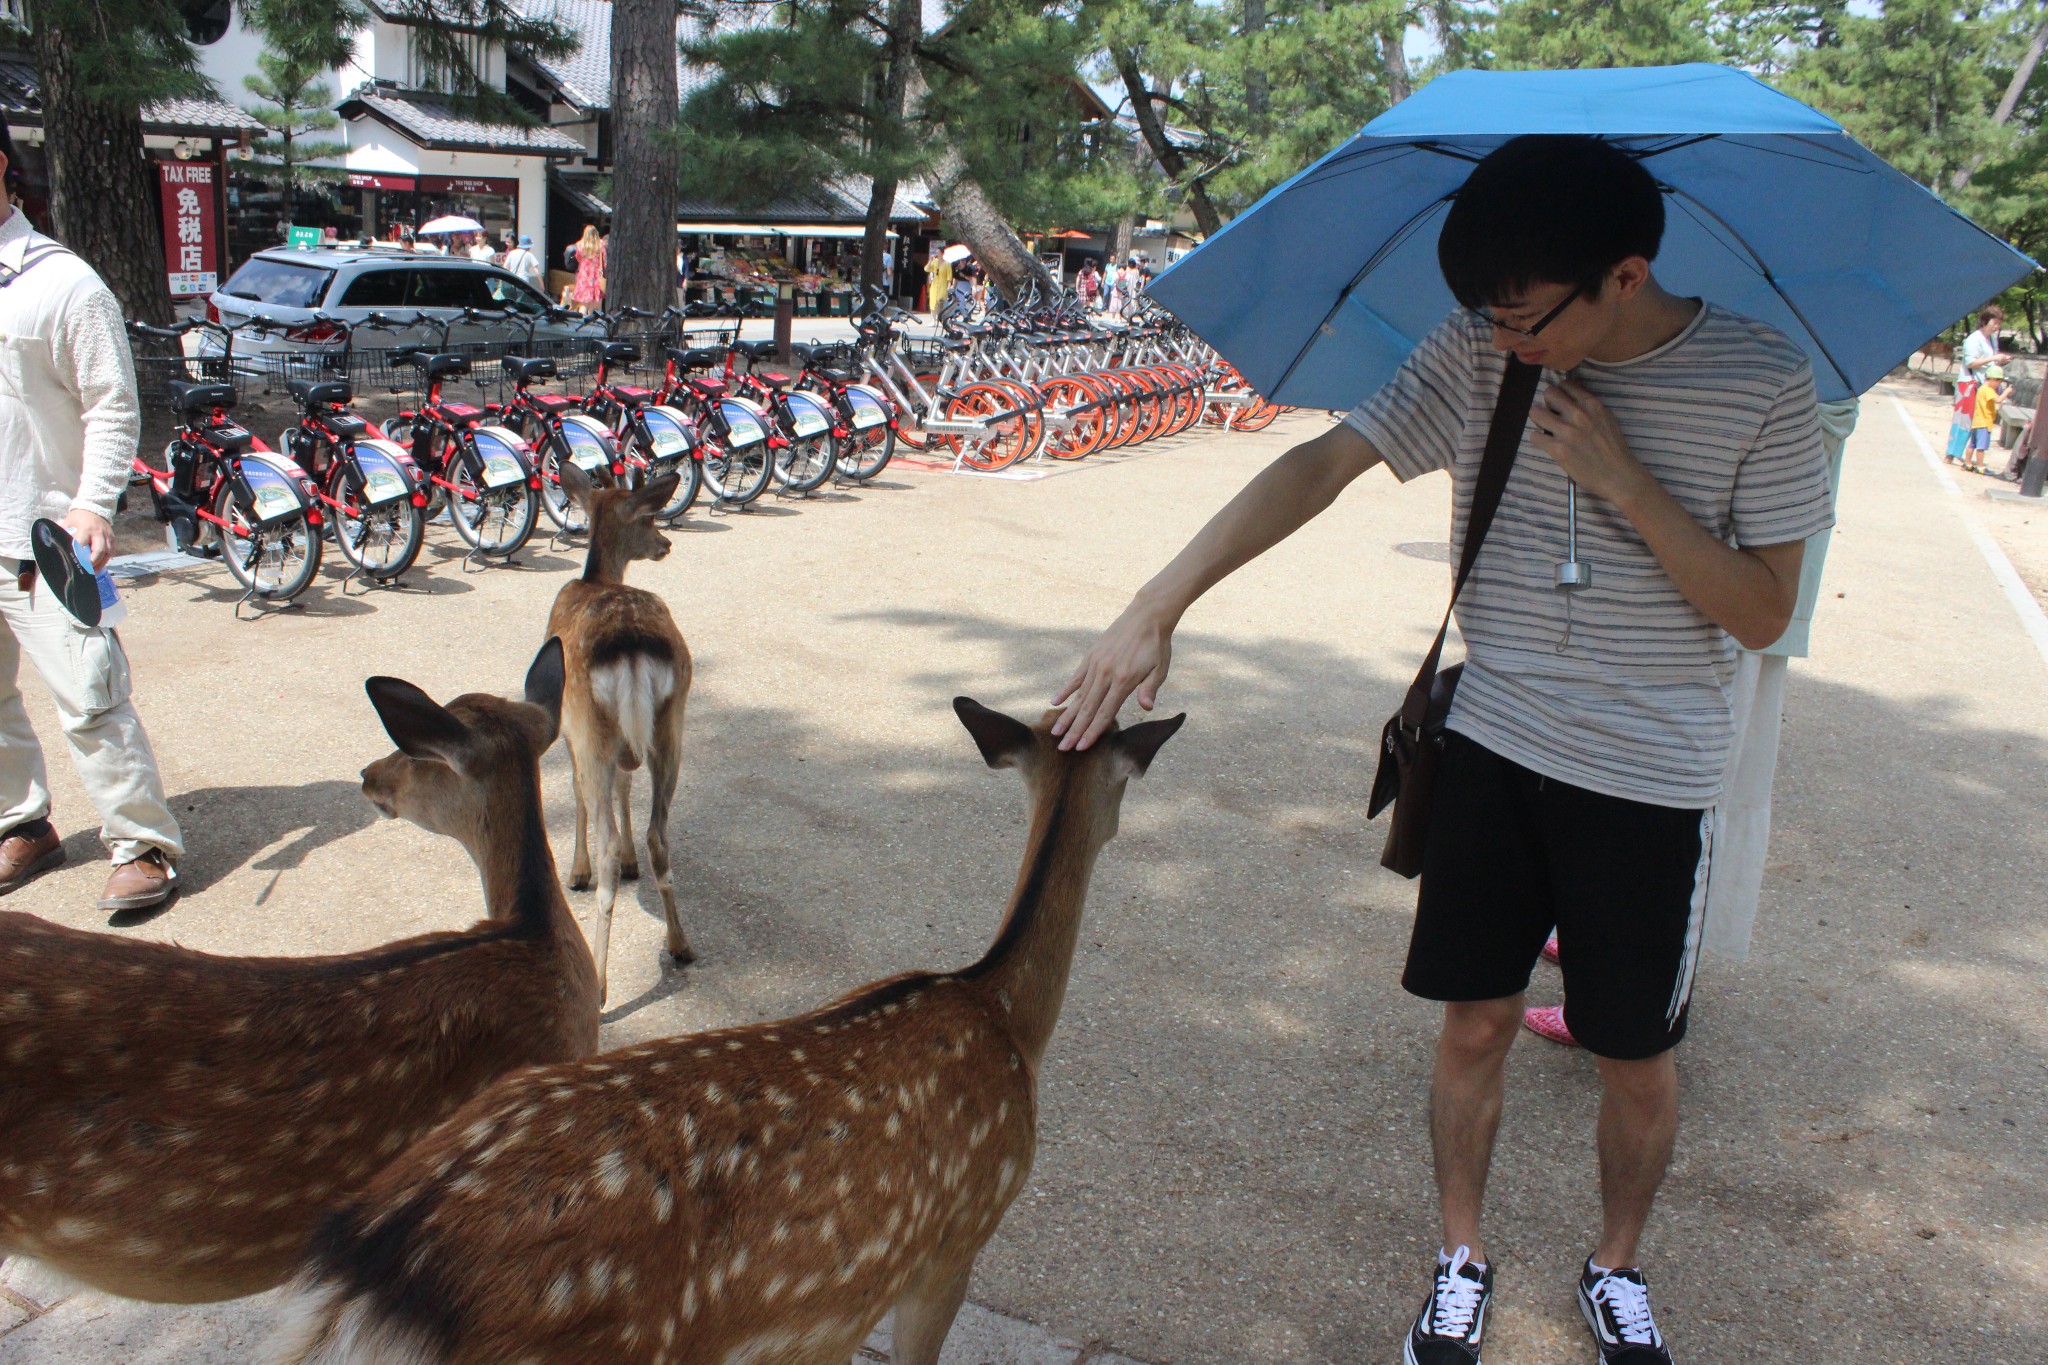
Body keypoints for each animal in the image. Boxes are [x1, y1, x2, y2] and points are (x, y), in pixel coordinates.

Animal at [548, 464, 692, 998]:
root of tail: (630, 646)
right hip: (671, 723)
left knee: (604, 832)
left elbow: (576, 791)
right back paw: (680, 944)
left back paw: (600, 980)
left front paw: (576, 872)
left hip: (591, 726)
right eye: (650, 518)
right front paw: (633, 865)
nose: (666, 544)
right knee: (660, 835)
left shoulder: (566, 727)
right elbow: (628, 785)